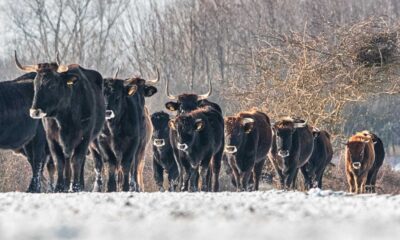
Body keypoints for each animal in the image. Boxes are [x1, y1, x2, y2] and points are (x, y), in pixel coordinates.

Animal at [16, 53, 105, 192]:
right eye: (35, 85)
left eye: (52, 85)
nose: (35, 111)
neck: (65, 119)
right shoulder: (52, 139)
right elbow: (59, 162)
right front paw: (59, 187)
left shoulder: (84, 137)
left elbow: (77, 161)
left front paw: (76, 187)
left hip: (93, 139)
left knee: (90, 160)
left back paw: (86, 186)